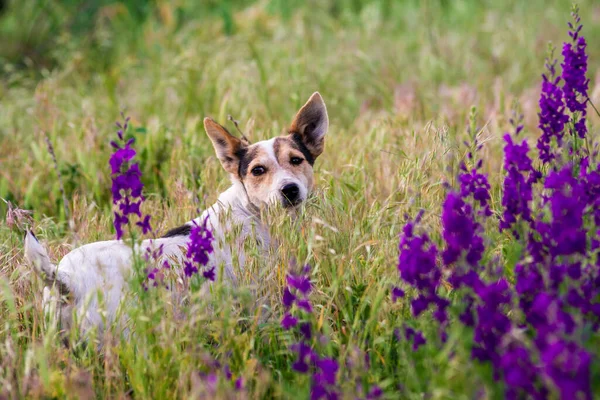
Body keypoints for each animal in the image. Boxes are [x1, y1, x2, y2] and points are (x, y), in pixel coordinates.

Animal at [24, 92, 328, 332]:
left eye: (296, 160)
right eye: (258, 170)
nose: (289, 190)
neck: (251, 211)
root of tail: (63, 277)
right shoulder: (257, 300)